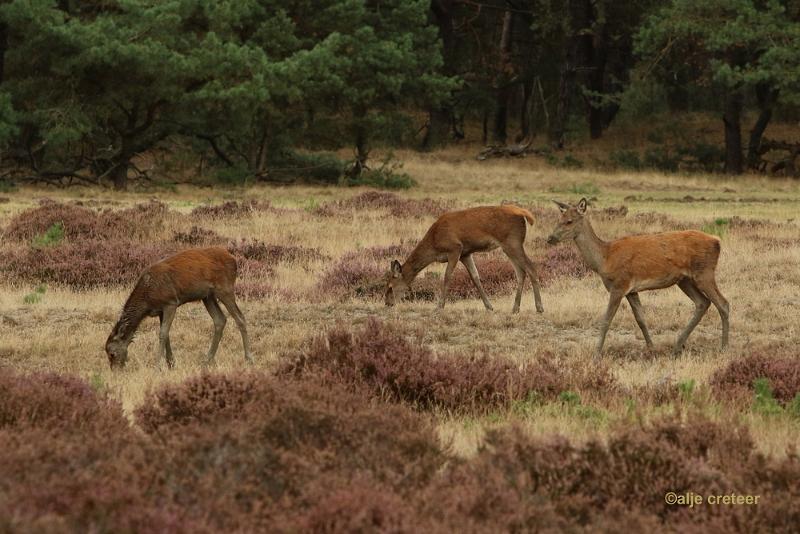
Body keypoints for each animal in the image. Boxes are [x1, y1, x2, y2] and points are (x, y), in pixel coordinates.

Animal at [104, 249, 252, 370]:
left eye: (112, 353)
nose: (115, 371)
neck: (147, 300)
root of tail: (234, 260)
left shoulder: (170, 302)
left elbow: (163, 333)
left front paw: (157, 366)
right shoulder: (160, 310)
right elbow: (166, 334)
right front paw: (171, 364)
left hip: (225, 288)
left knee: (240, 317)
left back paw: (248, 358)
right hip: (207, 296)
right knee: (220, 319)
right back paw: (207, 360)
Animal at [384, 205, 548, 314]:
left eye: (390, 287)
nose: (387, 304)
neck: (434, 244)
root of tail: (524, 214)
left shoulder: (455, 248)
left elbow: (447, 277)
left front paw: (439, 306)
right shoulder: (466, 254)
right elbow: (475, 277)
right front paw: (489, 306)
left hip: (512, 242)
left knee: (531, 268)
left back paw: (539, 307)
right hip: (509, 246)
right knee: (521, 272)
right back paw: (515, 308)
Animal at [548, 199, 728, 358]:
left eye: (569, 221)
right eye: (559, 219)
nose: (550, 238)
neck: (604, 259)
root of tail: (717, 241)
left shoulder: (619, 285)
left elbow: (606, 320)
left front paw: (596, 354)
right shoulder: (631, 290)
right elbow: (641, 319)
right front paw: (651, 349)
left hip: (704, 272)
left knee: (723, 303)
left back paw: (724, 347)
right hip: (684, 280)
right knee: (702, 302)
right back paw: (677, 346)